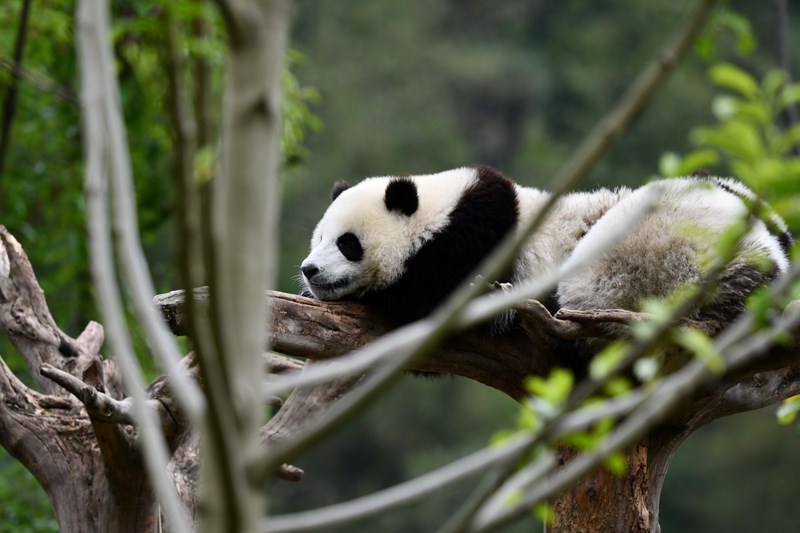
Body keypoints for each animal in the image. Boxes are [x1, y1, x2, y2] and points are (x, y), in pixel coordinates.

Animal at [302, 165, 792, 332]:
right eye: (318, 238)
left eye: (347, 244)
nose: (309, 270)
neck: (436, 211)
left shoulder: (474, 235)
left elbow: (429, 298)